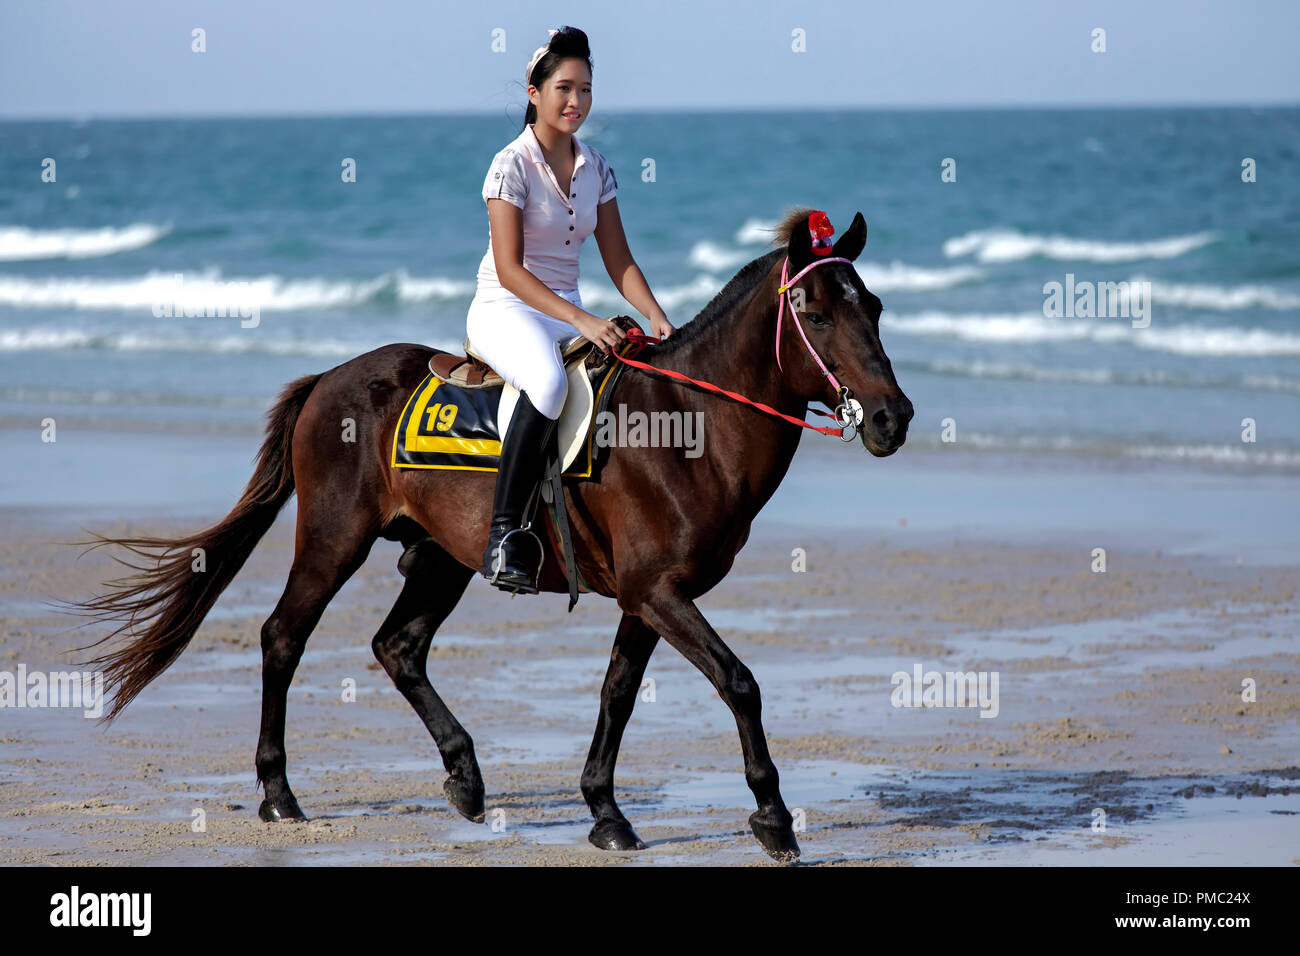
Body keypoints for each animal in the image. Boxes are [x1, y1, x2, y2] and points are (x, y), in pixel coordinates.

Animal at [68, 206, 913, 863]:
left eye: (873, 307)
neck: (684, 427)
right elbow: (739, 682)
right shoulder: (659, 593)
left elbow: (617, 694)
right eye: (816, 314)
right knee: (284, 636)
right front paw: (773, 818)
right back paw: (279, 793)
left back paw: (465, 776)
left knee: (398, 646)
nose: (893, 417)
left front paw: (605, 811)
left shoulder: (645, 599)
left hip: (444, 557)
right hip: (335, 540)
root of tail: (330, 379)